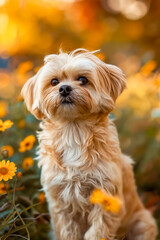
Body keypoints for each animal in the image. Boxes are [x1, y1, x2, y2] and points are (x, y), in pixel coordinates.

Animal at [21, 48, 158, 240]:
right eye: (54, 81)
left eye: (83, 80)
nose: (64, 88)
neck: (74, 131)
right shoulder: (60, 202)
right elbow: (67, 232)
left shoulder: (106, 198)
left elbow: (98, 231)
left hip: (143, 223)